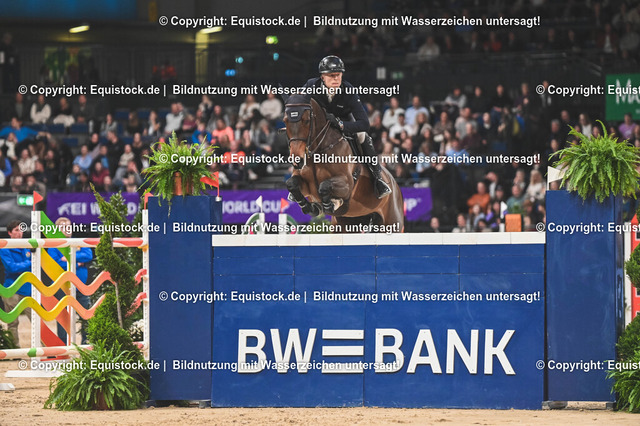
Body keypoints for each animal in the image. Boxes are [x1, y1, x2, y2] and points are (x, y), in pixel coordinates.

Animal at [283, 94, 404, 233]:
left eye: (307, 120)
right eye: (285, 121)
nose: (297, 160)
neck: (317, 152)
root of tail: (395, 185)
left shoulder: (347, 185)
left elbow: (324, 186)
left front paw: (330, 205)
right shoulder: (306, 186)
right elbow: (291, 184)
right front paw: (310, 207)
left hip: (393, 223)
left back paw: (382, 186)